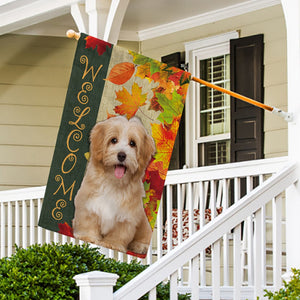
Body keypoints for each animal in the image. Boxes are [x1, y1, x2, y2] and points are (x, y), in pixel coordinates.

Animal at [72, 116, 156, 254]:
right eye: (113, 140)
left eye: (132, 143)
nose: (121, 155)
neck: (113, 182)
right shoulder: (88, 204)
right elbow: (88, 221)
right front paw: (88, 237)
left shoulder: (126, 216)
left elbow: (119, 233)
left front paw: (112, 244)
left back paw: (140, 246)